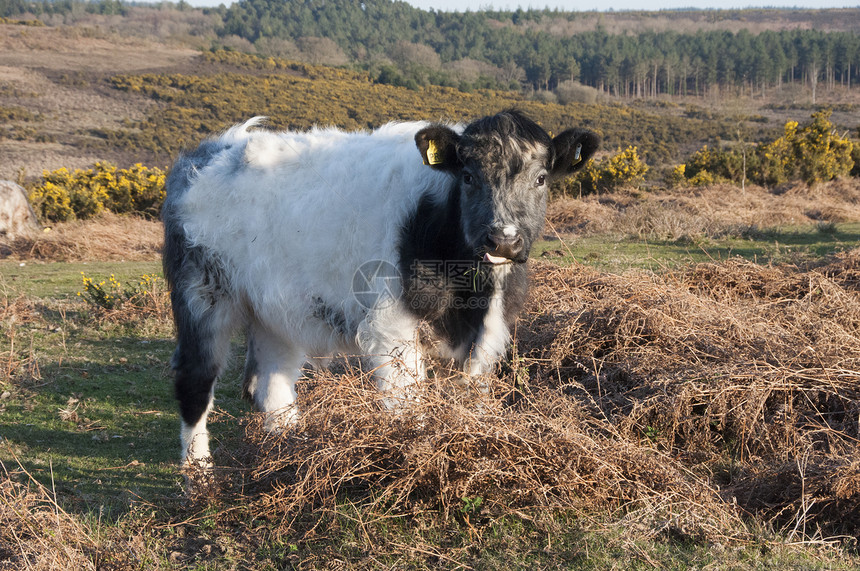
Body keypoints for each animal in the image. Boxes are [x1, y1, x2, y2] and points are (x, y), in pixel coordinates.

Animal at [165, 110, 600, 470]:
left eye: (541, 179)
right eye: (469, 177)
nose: (503, 240)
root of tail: (213, 150)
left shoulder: (489, 330)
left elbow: (466, 400)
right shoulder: (393, 327)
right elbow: (410, 407)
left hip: (277, 308)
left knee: (272, 382)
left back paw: (287, 454)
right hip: (203, 294)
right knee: (195, 379)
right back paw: (198, 476)